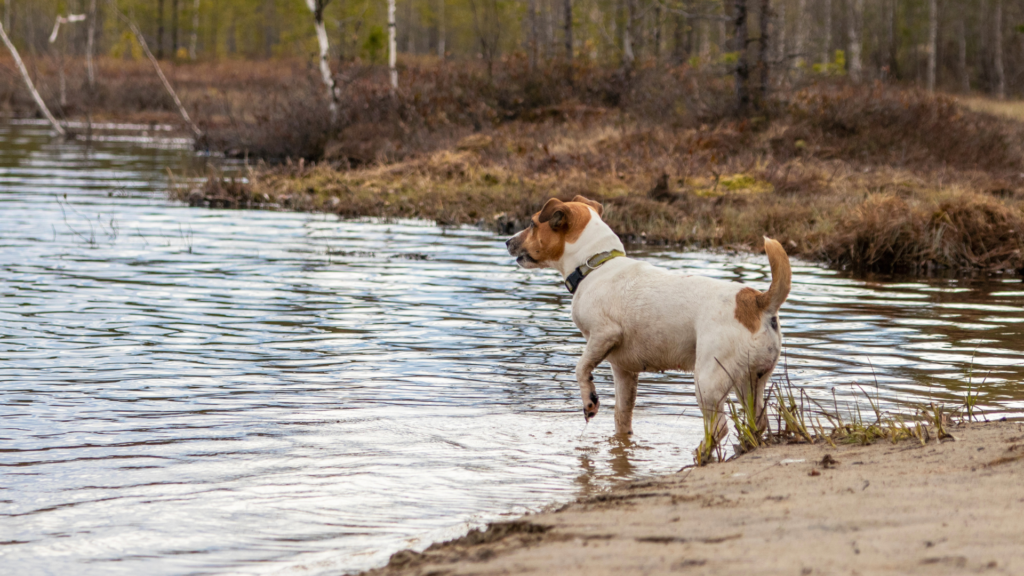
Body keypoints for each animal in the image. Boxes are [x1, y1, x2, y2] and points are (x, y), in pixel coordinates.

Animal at [505, 194, 790, 450]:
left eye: (532, 223)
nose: (507, 241)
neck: (596, 266)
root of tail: (757, 301)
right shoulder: (624, 371)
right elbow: (622, 416)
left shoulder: (604, 335)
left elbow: (581, 369)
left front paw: (590, 401)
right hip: (751, 383)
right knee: (757, 421)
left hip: (708, 380)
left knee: (718, 427)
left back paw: (700, 454)